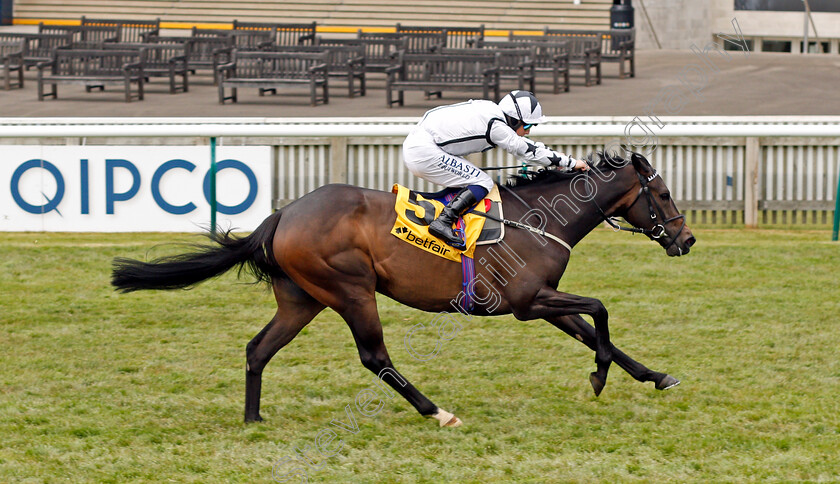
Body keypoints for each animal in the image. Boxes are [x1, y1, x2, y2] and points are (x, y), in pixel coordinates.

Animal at [111, 151, 696, 428]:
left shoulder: (542, 300)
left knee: (258, 349)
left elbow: (596, 330)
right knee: (375, 357)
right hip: (350, 290)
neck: (539, 217)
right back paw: (437, 411)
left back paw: (252, 418)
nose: (686, 239)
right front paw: (598, 376)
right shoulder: (526, 303)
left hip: (302, 299)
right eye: (664, 194)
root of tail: (283, 215)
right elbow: (601, 310)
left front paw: (656, 376)